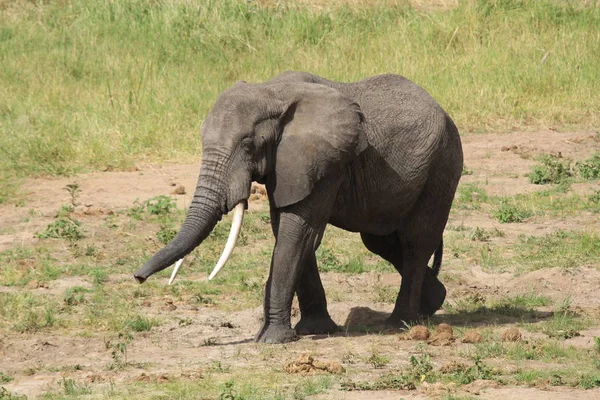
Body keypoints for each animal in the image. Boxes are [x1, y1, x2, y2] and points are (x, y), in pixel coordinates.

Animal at [135, 71, 464, 344]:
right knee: (378, 240)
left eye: (247, 146)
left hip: (442, 165)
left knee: (415, 242)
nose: (138, 278)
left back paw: (401, 323)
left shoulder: (327, 162)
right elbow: (287, 230)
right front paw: (313, 330)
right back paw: (432, 303)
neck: (270, 93)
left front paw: (271, 339)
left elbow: (298, 231)